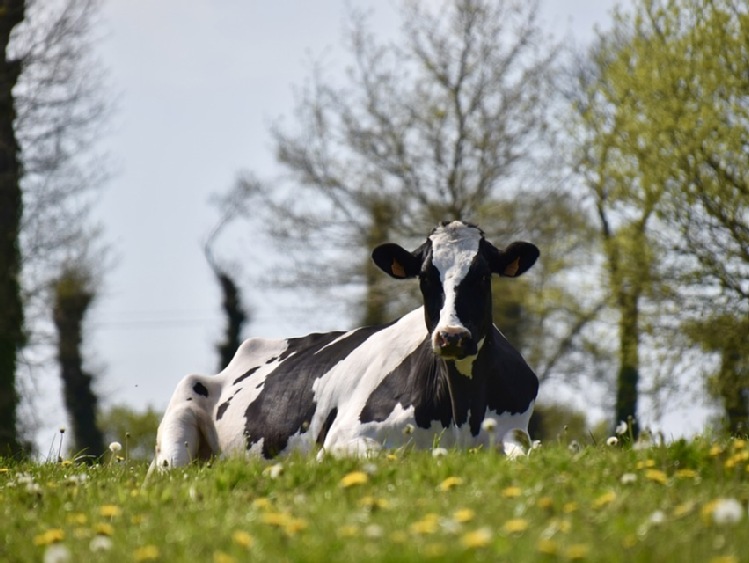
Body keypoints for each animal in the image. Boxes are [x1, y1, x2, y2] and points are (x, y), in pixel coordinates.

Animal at [150, 220, 536, 472]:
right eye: (426, 277)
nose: (451, 336)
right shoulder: (343, 439)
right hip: (178, 423)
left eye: (482, 275)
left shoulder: (516, 431)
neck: (461, 411)